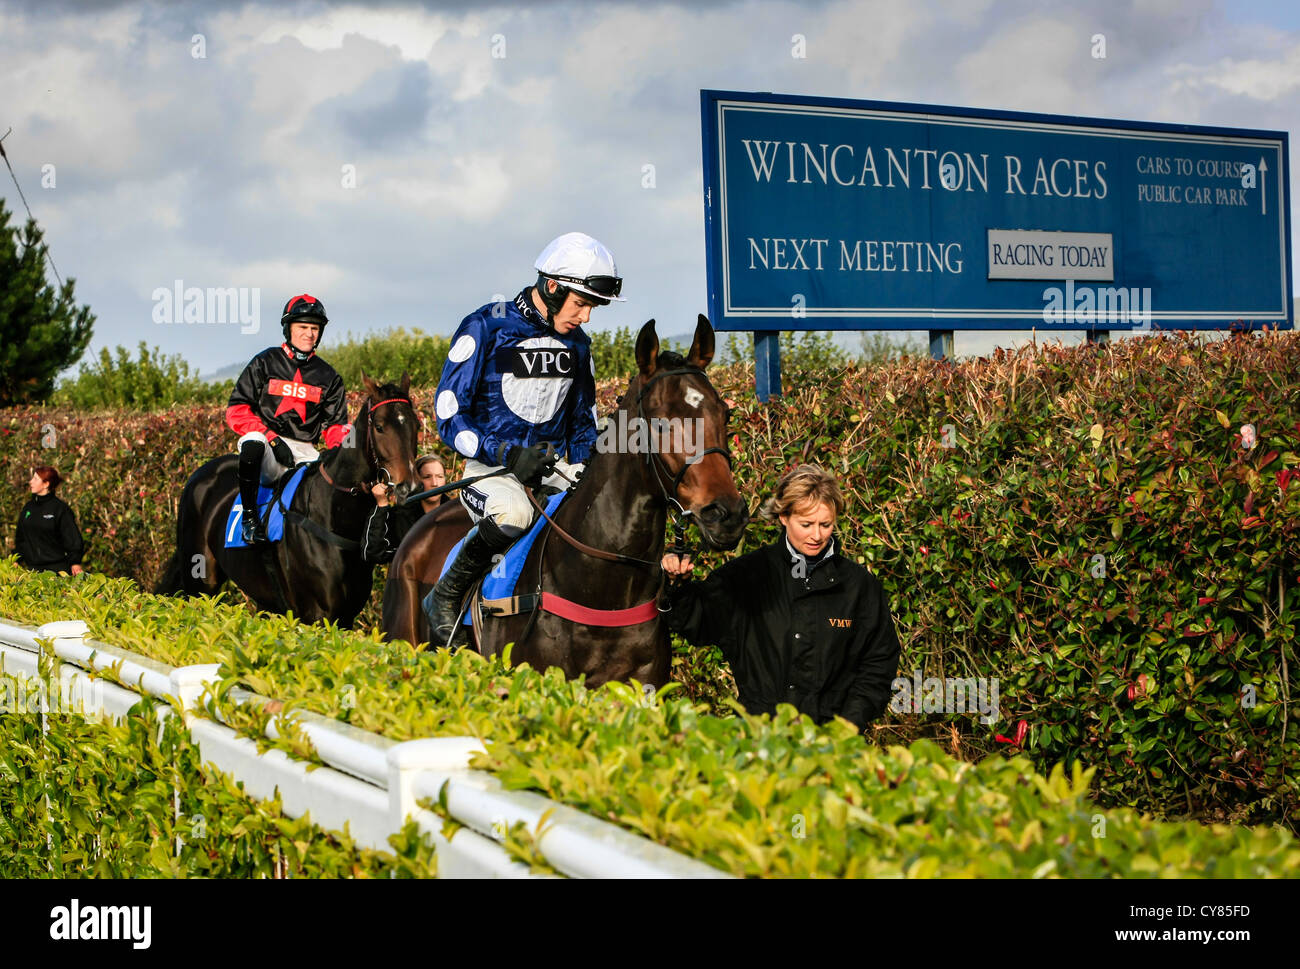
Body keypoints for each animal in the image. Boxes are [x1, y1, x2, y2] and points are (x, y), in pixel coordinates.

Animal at [155, 369, 421, 626]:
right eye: (380, 427)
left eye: (416, 425)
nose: (408, 486)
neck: (334, 517)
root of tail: (200, 475)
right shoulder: (316, 615)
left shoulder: (345, 616)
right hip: (199, 581)